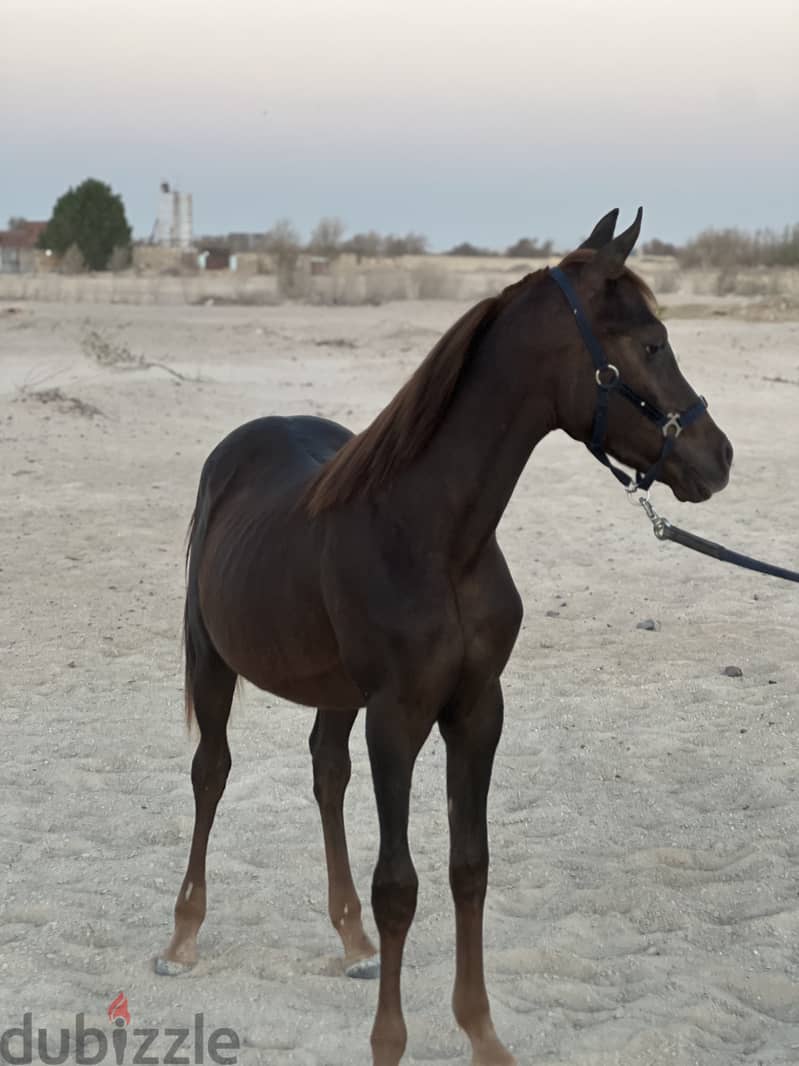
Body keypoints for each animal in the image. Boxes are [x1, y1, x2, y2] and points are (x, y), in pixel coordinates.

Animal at [153, 210, 737, 1066]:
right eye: (652, 343)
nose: (717, 457)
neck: (435, 536)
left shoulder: (474, 710)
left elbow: (469, 867)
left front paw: (481, 1032)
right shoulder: (397, 717)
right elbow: (400, 885)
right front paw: (389, 1042)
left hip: (336, 692)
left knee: (326, 772)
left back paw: (350, 940)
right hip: (212, 662)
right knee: (210, 772)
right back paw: (183, 937)